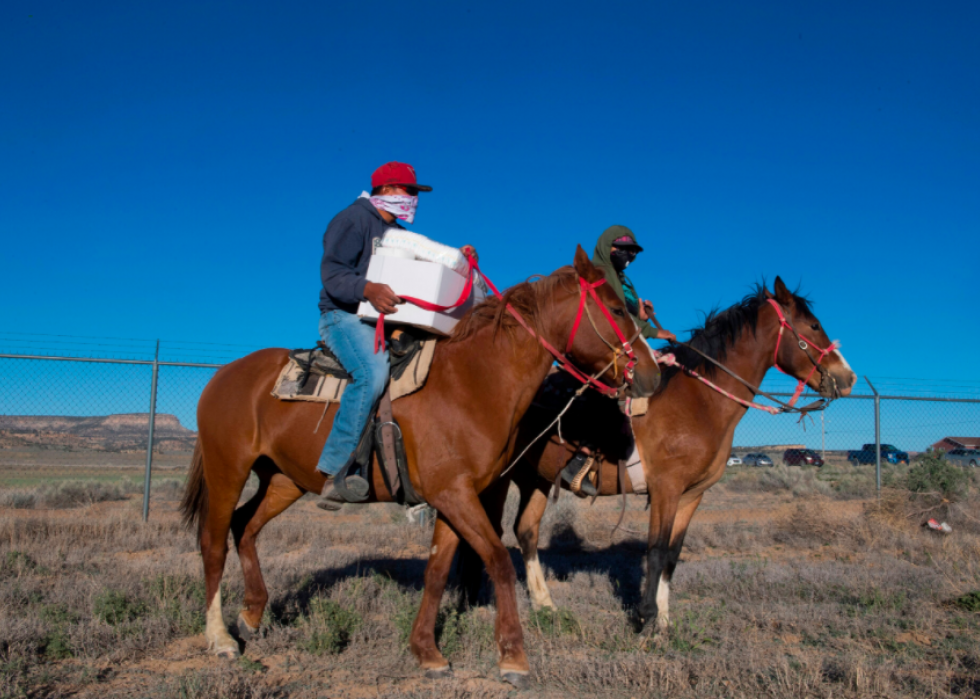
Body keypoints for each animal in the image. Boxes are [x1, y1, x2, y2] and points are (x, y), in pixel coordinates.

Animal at [181, 247, 664, 688]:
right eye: (617, 309)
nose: (653, 375)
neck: (472, 382)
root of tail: (222, 375)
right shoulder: (454, 494)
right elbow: (498, 560)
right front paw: (513, 658)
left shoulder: (454, 496)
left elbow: (437, 571)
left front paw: (427, 652)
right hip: (228, 470)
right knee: (213, 543)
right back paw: (220, 638)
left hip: (283, 479)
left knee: (245, 526)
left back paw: (252, 615)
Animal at [456, 278, 852, 636]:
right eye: (813, 326)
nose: (846, 378)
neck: (699, 401)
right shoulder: (666, 488)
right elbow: (657, 550)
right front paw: (645, 619)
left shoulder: (692, 495)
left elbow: (672, 556)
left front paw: (663, 620)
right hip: (499, 479)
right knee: (487, 532)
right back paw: (471, 601)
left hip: (535, 479)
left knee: (525, 531)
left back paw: (544, 604)